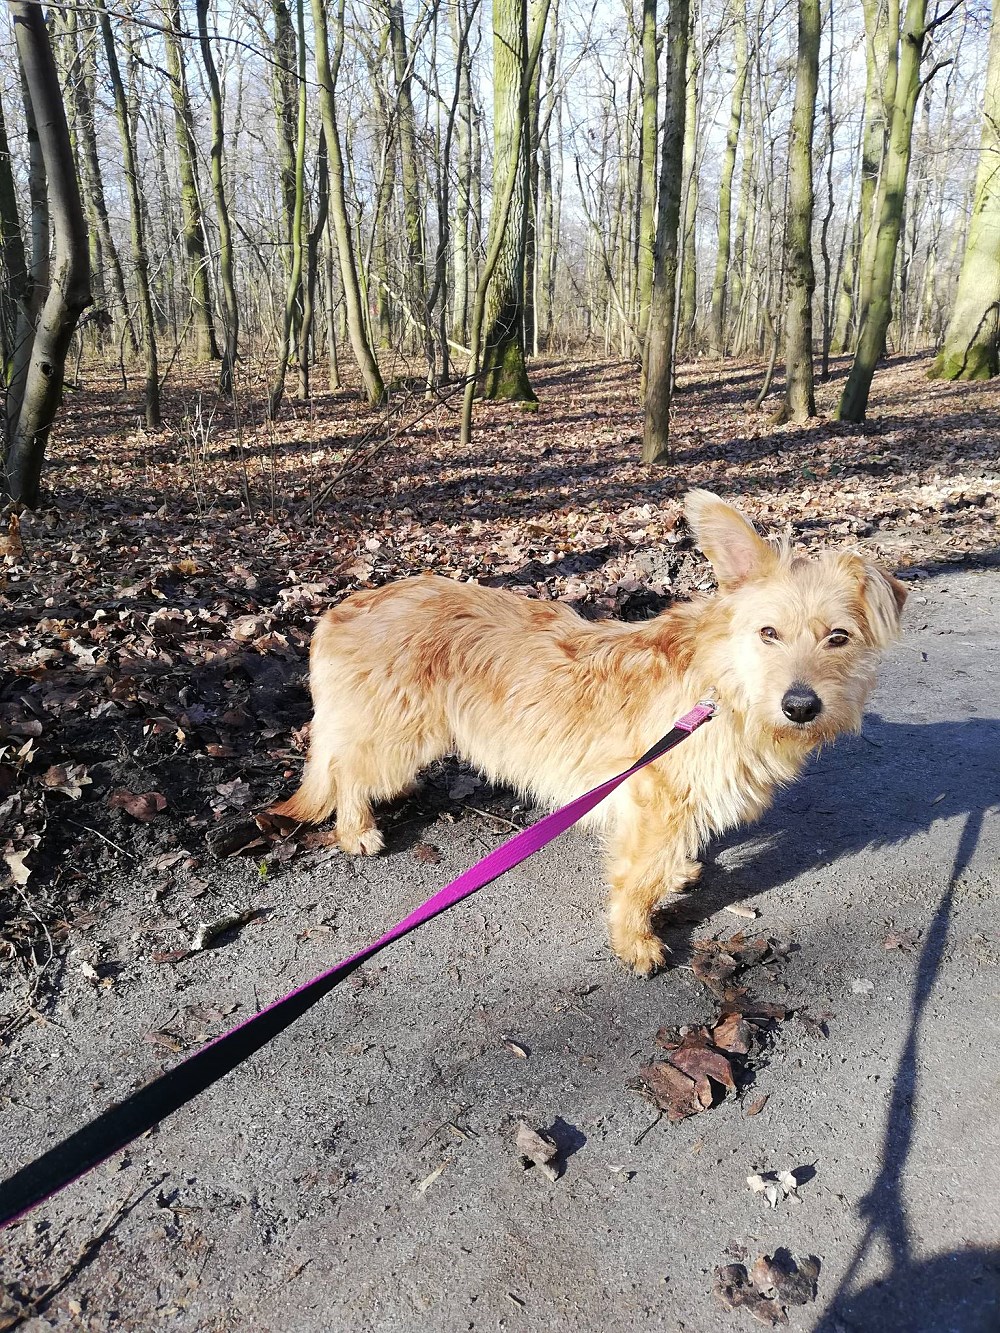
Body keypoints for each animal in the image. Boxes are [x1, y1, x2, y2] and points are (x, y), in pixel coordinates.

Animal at [271, 490, 906, 974]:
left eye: (839, 638)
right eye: (768, 633)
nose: (801, 706)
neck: (723, 686)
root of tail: (341, 608)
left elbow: (667, 860)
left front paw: (679, 873)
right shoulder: (655, 798)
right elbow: (637, 879)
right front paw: (636, 940)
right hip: (400, 733)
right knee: (347, 771)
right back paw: (356, 829)